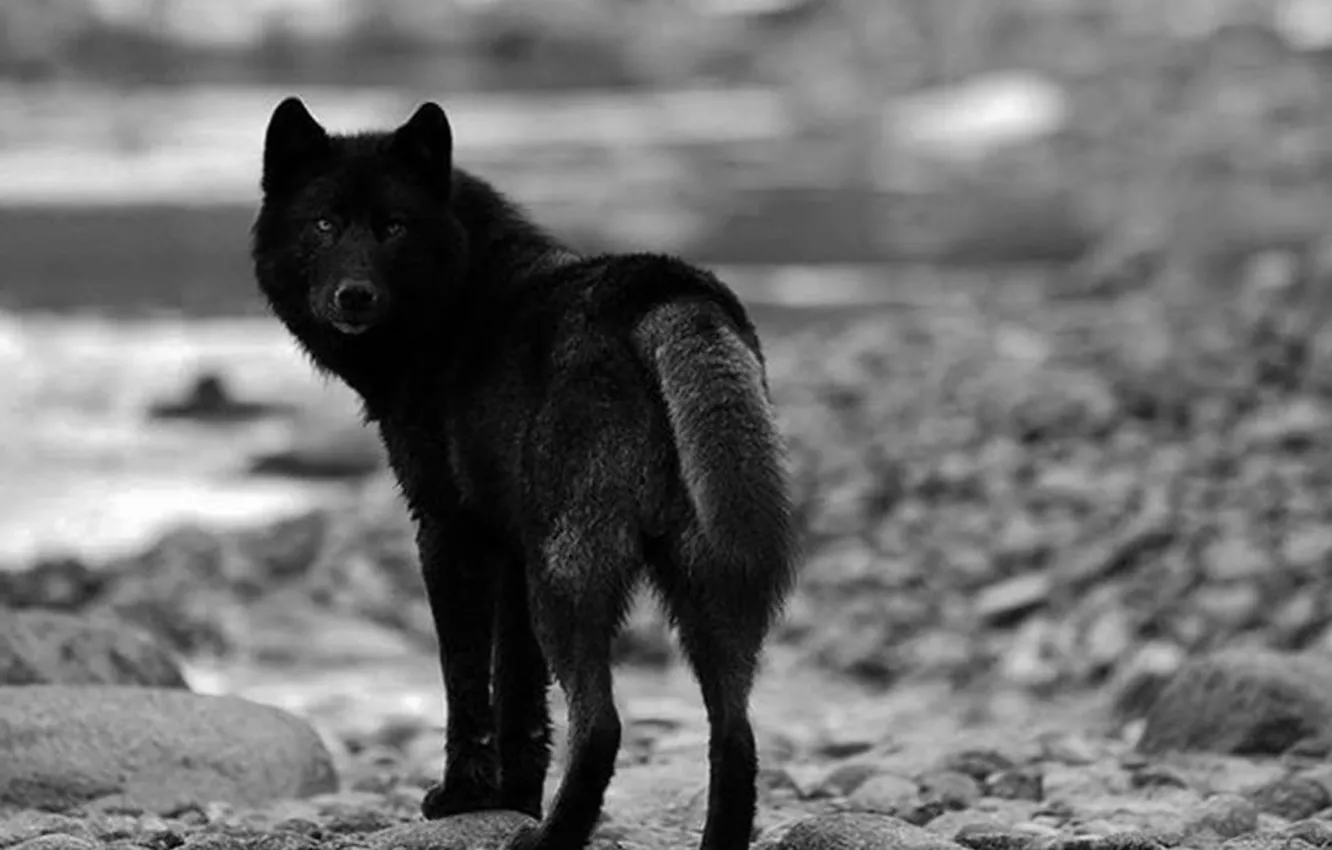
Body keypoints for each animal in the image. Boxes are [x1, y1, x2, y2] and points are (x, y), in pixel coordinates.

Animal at [251, 97, 798, 850]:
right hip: (701, 588)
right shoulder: (513, 553)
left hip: (568, 581)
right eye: (324, 224)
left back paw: (552, 839)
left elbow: (465, 683)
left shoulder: (448, 534)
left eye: (393, 226)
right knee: (735, 736)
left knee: (602, 725)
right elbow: (519, 696)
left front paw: (464, 798)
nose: (353, 295)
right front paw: (512, 798)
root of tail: (664, 292)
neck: (456, 301)